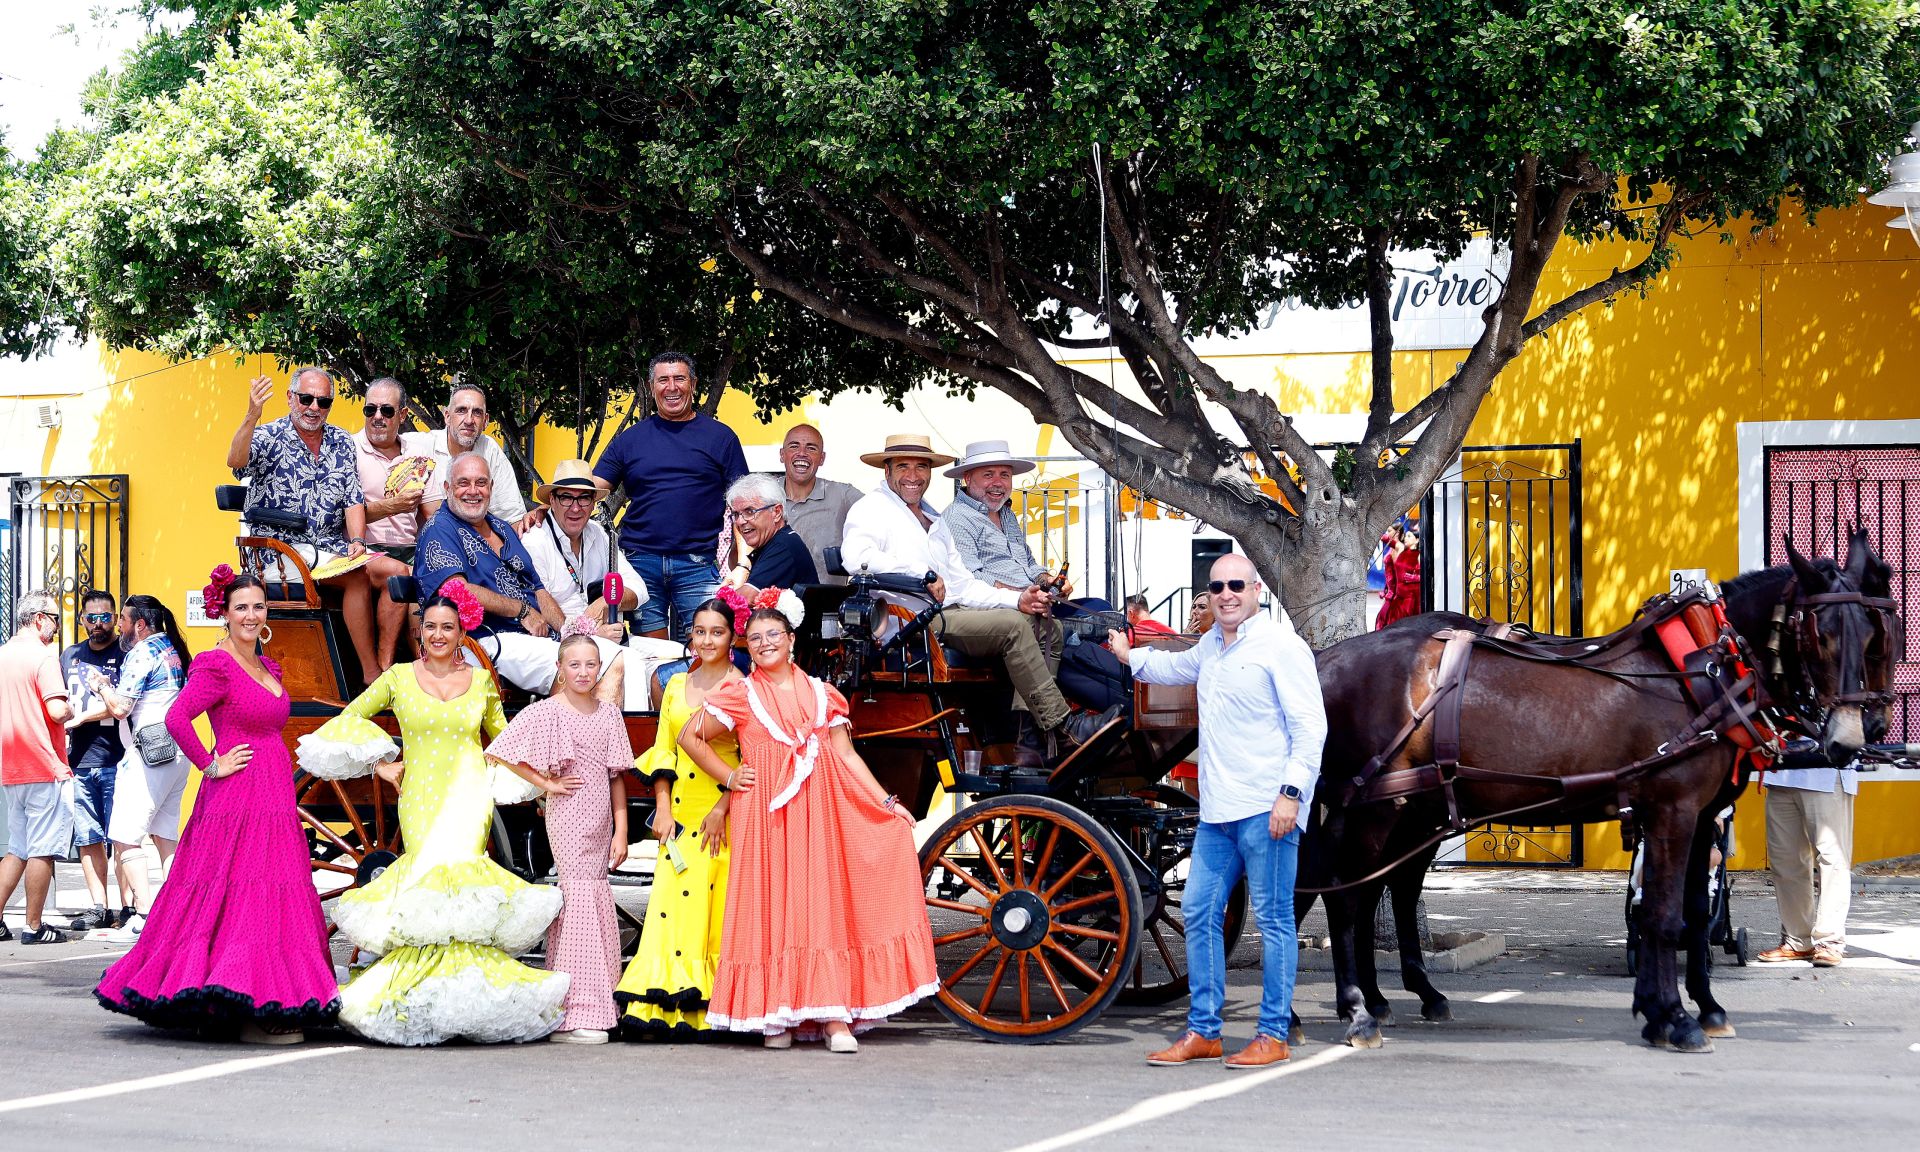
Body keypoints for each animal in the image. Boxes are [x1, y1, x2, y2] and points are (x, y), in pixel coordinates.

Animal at [1297, 529, 1896, 1052]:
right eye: (1820, 633)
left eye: (1874, 637)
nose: (1851, 738)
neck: (1706, 668)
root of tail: (1324, 661)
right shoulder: (1672, 810)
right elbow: (1661, 917)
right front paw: (1674, 1018)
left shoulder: (1703, 815)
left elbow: (1692, 915)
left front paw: (1695, 1008)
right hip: (1377, 808)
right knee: (1345, 895)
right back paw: (1356, 1011)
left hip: (1408, 811)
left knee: (1363, 888)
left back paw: (1374, 1001)